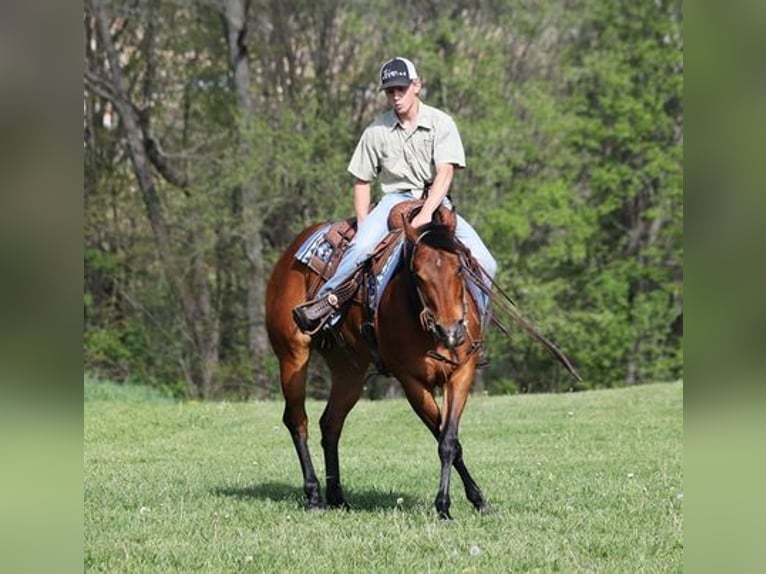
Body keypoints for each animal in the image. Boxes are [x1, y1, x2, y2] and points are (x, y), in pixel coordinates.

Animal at [265, 202, 488, 519]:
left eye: (459, 267)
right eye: (417, 275)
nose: (451, 331)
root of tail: (290, 253)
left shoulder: (461, 373)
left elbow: (449, 441)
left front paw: (477, 500)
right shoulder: (411, 382)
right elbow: (444, 438)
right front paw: (444, 507)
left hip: (349, 371)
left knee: (330, 423)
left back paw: (337, 497)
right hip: (292, 356)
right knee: (298, 420)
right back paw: (314, 495)